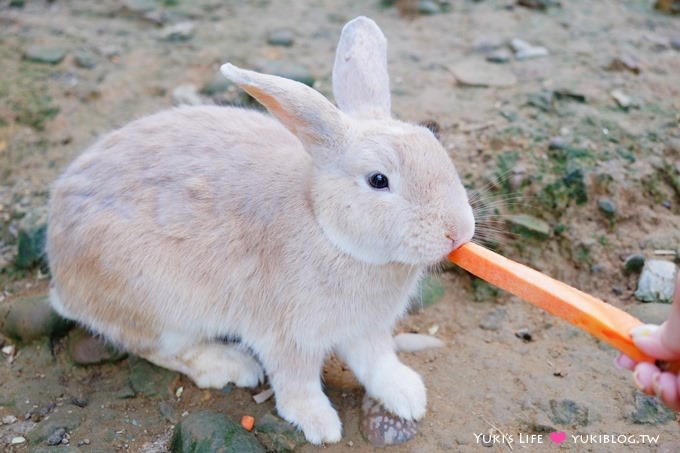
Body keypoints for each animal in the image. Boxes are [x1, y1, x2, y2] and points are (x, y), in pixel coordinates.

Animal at [46, 15, 472, 444]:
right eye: (378, 180)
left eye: (434, 139)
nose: (458, 232)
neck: (325, 224)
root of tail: (60, 268)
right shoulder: (286, 336)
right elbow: (296, 382)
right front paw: (319, 424)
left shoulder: (367, 330)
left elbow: (377, 362)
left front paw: (408, 397)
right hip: (162, 306)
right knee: (159, 348)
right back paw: (229, 365)